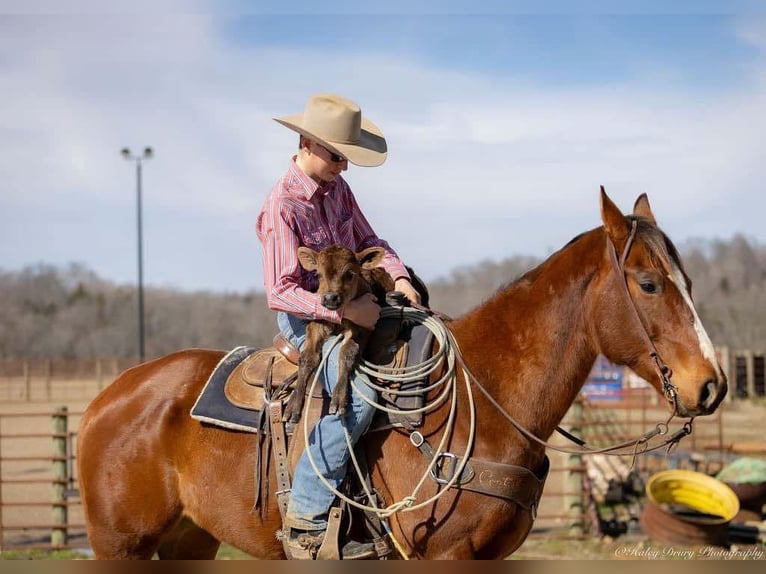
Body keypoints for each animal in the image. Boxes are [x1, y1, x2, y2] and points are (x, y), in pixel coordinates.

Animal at [284, 243, 400, 424]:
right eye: (318, 274)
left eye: (350, 273)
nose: (330, 298)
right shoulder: (317, 324)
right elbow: (307, 357)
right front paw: (293, 405)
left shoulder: (361, 328)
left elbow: (347, 352)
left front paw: (338, 399)